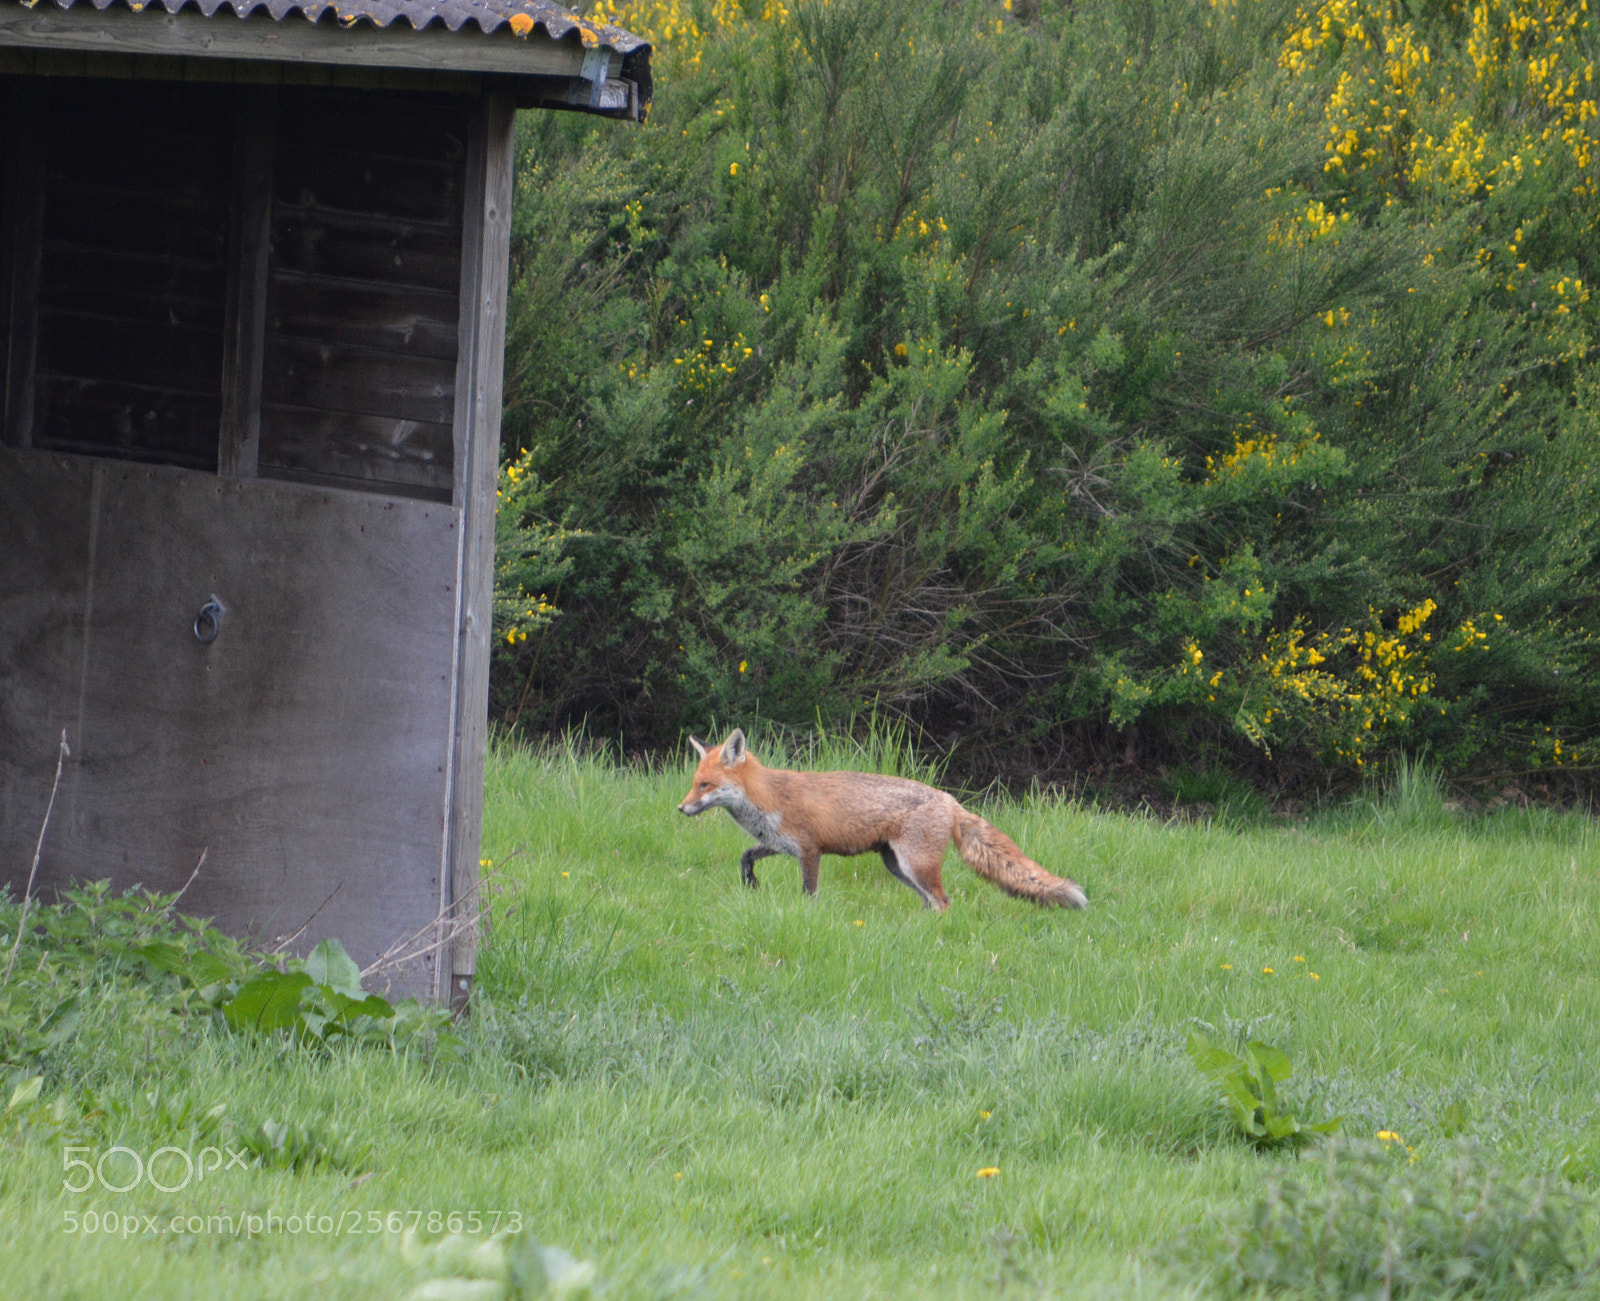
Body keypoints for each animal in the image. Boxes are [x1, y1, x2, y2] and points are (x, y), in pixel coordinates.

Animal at [677, 728, 1086, 912]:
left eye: (704, 785)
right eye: (693, 784)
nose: (680, 809)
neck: (770, 796)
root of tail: (951, 800)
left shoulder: (810, 850)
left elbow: (809, 893)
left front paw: (805, 917)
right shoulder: (778, 843)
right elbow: (746, 855)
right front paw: (750, 882)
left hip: (915, 864)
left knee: (944, 901)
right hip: (897, 866)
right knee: (932, 902)